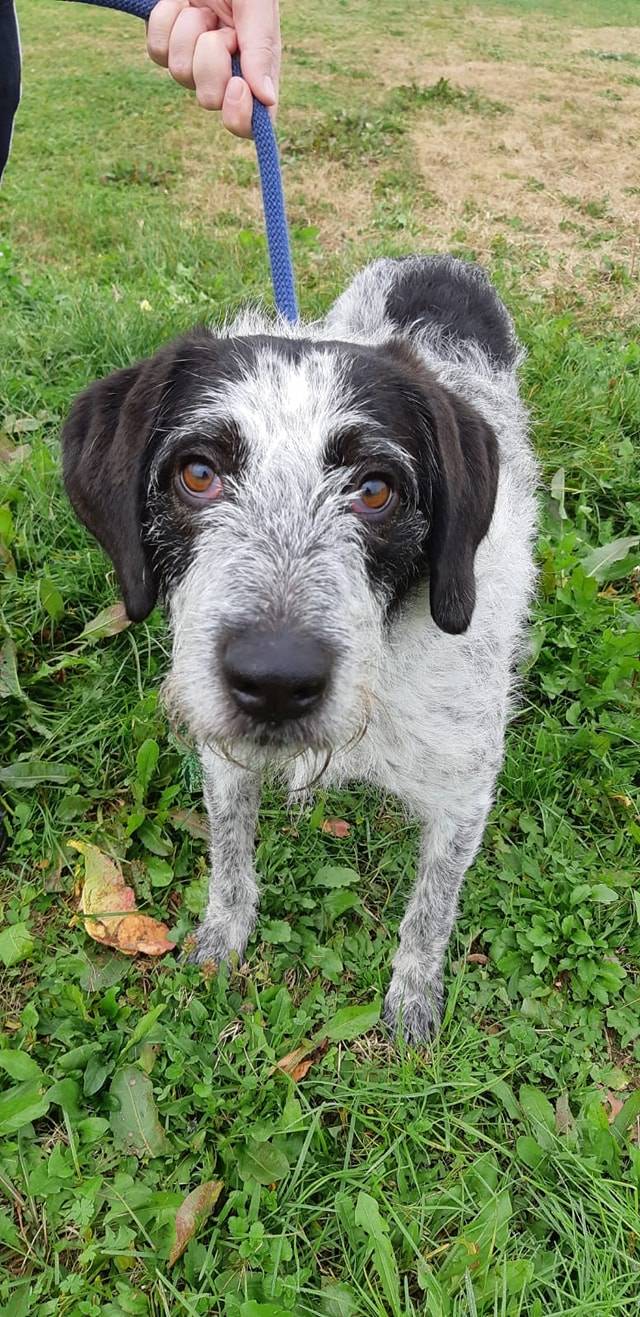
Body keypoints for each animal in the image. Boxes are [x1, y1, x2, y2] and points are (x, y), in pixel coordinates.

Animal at [62, 254, 537, 1037]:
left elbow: (431, 910)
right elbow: (229, 855)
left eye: (375, 489)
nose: (276, 680)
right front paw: (222, 938)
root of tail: (438, 265)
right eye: (197, 473)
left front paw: (412, 997)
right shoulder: (224, 755)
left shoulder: (463, 792)